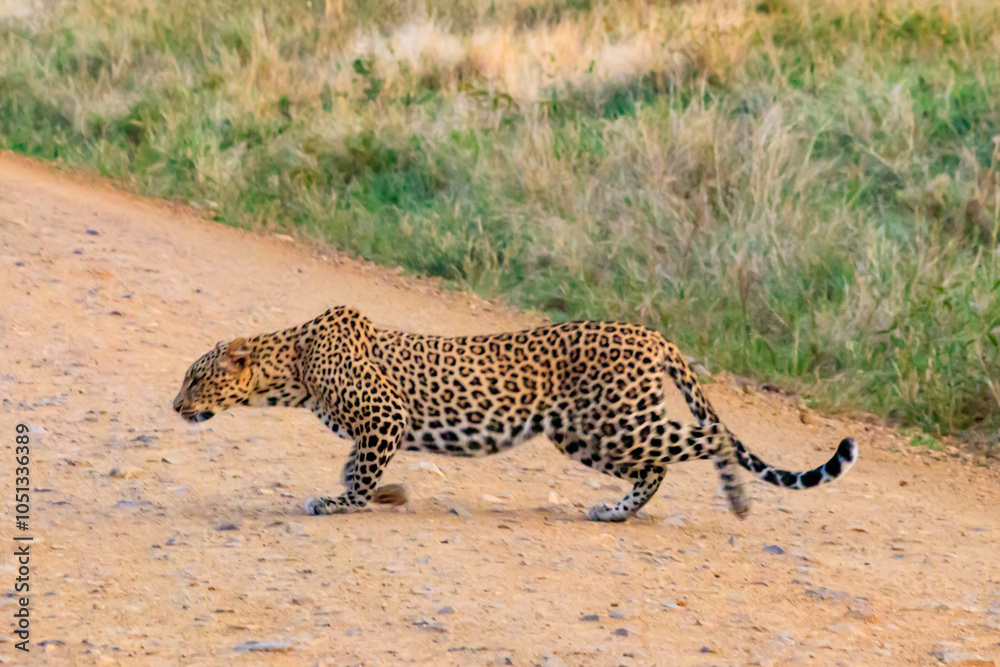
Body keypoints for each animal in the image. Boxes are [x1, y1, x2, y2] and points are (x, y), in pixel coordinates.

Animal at [174, 306, 860, 520]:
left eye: (195, 376)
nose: (175, 405)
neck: (290, 367)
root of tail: (650, 333)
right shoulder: (373, 429)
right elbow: (357, 467)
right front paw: (384, 495)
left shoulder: (385, 418)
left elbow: (359, 472)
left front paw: (343, 503)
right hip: (585, 436)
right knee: (659, 467)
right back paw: (615, 513)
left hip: (616, 424)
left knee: (711, 434)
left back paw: (738, 501)